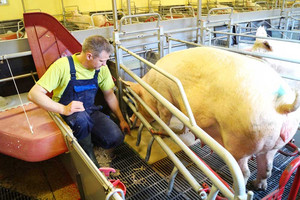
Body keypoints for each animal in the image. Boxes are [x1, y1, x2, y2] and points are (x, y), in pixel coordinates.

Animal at [127, 46, 300, 191]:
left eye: (137, 101)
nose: (131, 122)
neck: (151, 87)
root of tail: (281, 104)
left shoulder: (164, 96)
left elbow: (165, 117)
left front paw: (162, 131)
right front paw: (181, 130)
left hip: (240, 141)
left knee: (244, 173)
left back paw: (235, 189)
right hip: (274, 144)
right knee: (267, 168)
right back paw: (257, 186)